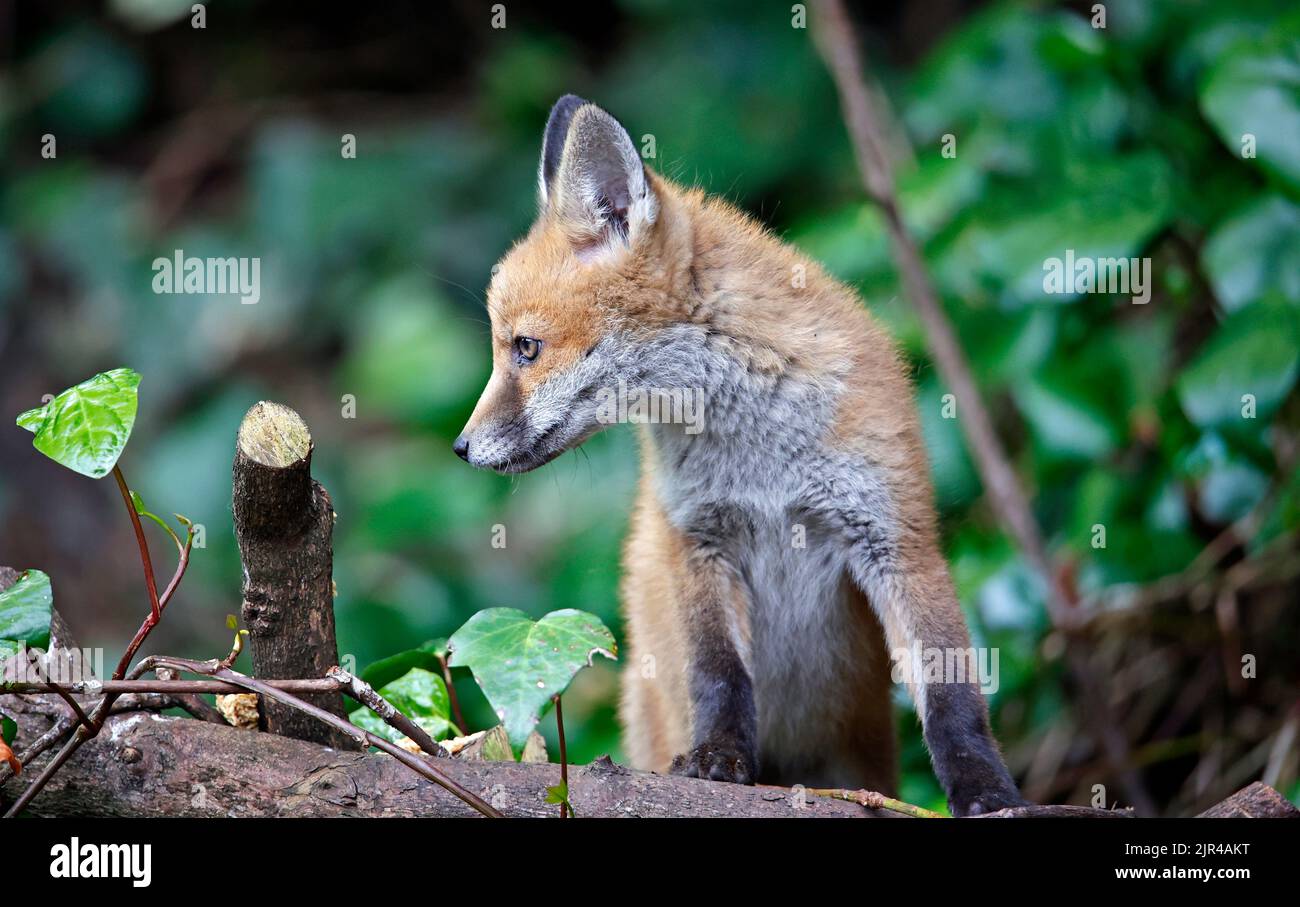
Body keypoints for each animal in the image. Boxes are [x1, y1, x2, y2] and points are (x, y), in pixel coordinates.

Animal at [455, 95, 1026, 815]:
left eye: (525, 348)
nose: (462, 447)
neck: (762, 459)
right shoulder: (697, 538)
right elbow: (720, 674)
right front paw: (718, 758)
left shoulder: (896, 536)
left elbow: (954, 695)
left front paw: (986, 787)